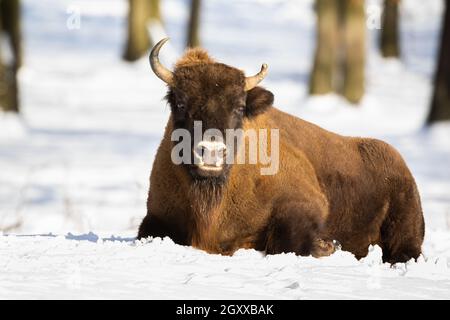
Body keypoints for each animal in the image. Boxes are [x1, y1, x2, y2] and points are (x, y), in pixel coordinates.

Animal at [138, 38, 426, 262]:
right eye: (180, 103)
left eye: (239, 107)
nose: (211, 151)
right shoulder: (157, 214)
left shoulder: (306, 203)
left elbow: (289, 242)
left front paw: (327, 247)